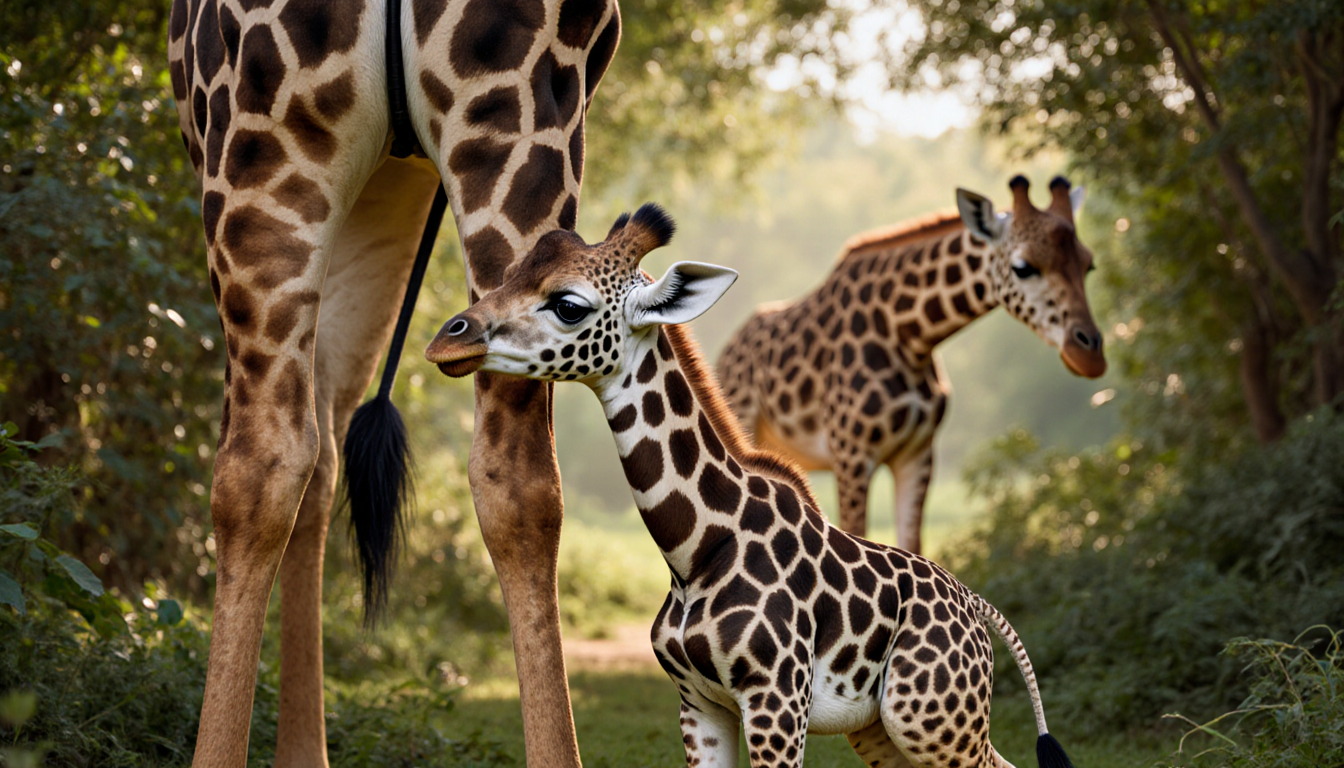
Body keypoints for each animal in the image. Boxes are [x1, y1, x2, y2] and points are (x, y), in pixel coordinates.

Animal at [166, 1, 620, 765]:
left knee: (259, 465)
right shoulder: (393, 192)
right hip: (520, 129)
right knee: (518, 477)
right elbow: (327, 455)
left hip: (263, 147)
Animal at [425, 203, 1078, 768]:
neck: (694, 552)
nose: (447, 338)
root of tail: (976, 605)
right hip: (881, 730)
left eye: (568, 305)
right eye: (510, 274)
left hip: (932, 716)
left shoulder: (776, 703)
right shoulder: (698, 704)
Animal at [716, 176, 1106, 552]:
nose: (1090, 356)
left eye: (1089, 264)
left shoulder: (918, 455)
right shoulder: (851, 455)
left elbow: (913, 543)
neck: (909, 335)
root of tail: (729, 349)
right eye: (1023, 267)